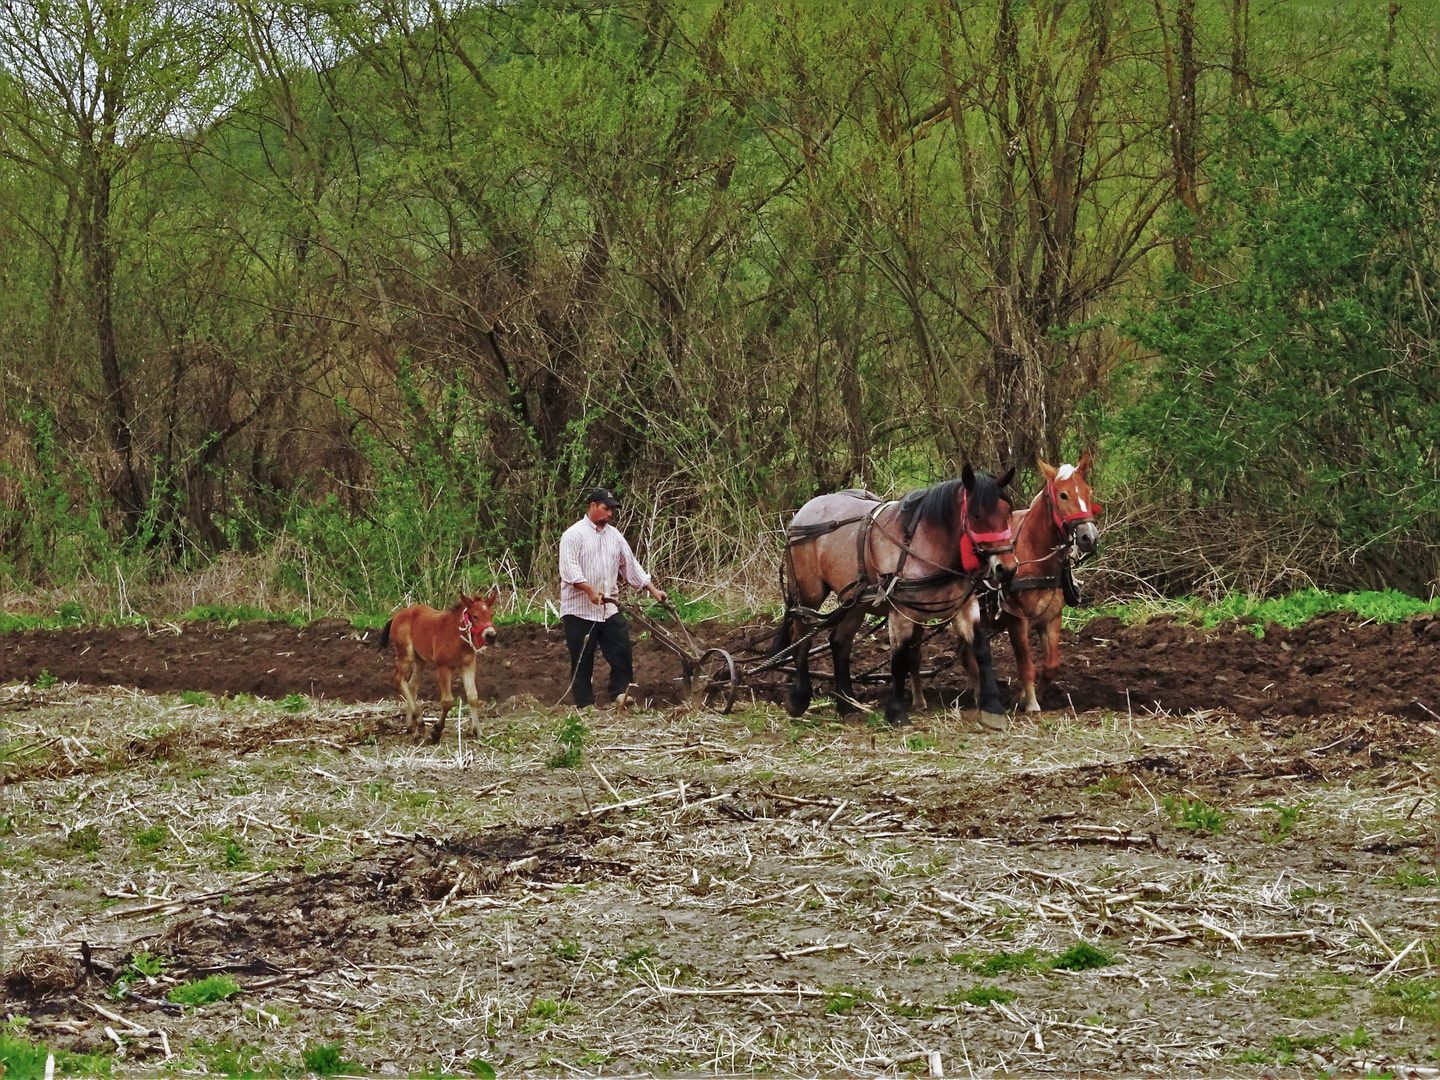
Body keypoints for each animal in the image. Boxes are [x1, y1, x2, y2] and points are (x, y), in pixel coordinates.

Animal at [377, 593, 501, 743]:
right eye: (475, 615)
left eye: (491, 614)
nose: (491, 635)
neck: (457, 636)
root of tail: (396, 616)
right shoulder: (443, 666)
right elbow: (447, 702)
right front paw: (436, 731)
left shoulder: (468, 665)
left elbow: (473, 696)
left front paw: (478, 731)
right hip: (406, 655)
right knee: (398, 679)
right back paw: (420, 721)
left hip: (420, 660)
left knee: (411, 685)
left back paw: (412, 726)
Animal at [777, 466, 1025, 728]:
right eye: (976, 515)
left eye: (1007, 513)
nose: (1007, 568)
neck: (928, 544)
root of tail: (803, 512)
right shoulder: (900, 614)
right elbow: (898, 661)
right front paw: (897, 712)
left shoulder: (965, 606)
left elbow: (981, 650)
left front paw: (993, 707)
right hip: (808, 593)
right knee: (801, 637)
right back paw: (799, 698)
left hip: (854, 601)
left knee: (839, 641)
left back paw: (847, 705)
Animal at [967, 455, 1100, 711]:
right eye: (1063, 495)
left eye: (1088, 491)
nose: (1089, 537)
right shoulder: (1016, 621)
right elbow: (1026, 665)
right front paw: (1031, 705)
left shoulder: (1051, 619)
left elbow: (1051, 666)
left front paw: (1025, 697)